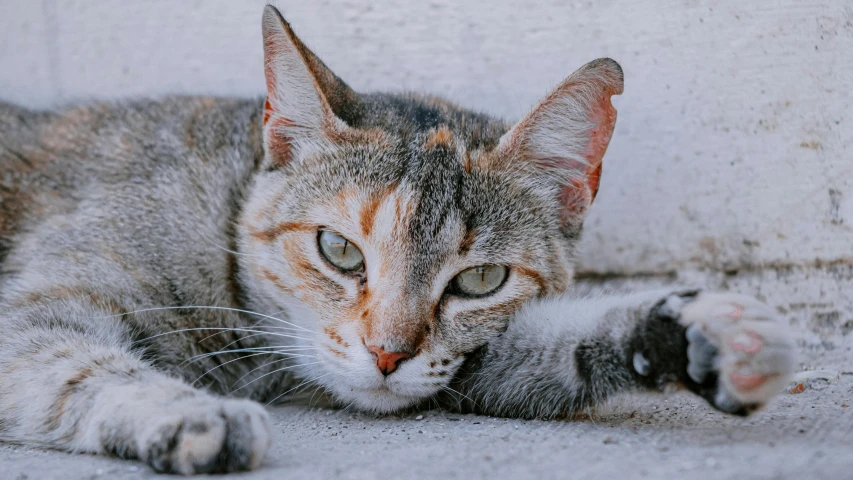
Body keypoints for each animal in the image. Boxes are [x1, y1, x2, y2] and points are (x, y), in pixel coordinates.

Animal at [0, 4, 796, 476]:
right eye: (339, 251)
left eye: (480, 281)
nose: (386, 355)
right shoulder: (36, 311)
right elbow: (79, 366)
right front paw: (189, 411)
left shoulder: (465, 364)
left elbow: (549, 347)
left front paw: (690, 331)